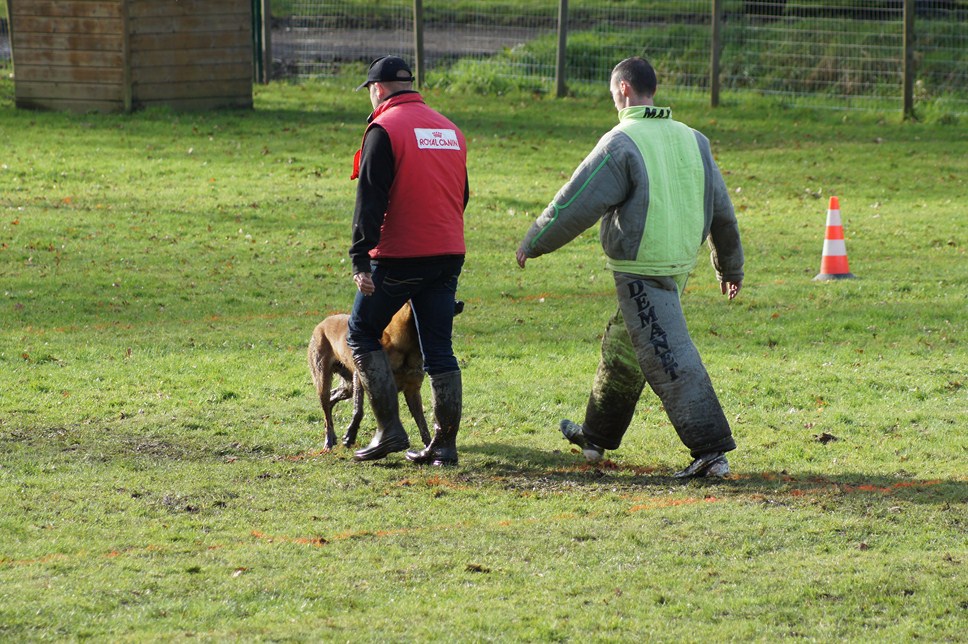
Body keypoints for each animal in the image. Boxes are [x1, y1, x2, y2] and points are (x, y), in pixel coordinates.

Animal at [308, 300, 464, 450]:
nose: (460, 303)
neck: (407, 346)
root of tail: (322, 323)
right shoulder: (361, 378)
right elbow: (358, 410)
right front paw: (350, 436)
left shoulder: (412, 390)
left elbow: (422, 422)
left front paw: (428, 447)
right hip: (324, 382)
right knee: (327, 408)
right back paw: (328, 441)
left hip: (348, 387)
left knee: (332, 399)